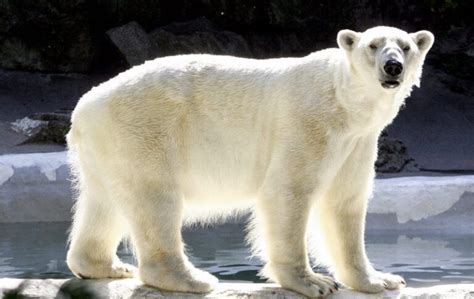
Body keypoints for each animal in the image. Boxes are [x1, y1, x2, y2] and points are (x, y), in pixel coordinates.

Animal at [65, 26, 434, 298]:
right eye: (373, 45)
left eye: (405, 46)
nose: (393, 66)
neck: (343, 102)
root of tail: (84, 108)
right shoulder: (309, 124)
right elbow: (289, 190)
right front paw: (313, 282)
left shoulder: (358, 142)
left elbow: (344, 203)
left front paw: (380, 279)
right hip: (143, 129)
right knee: (155, 199)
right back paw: (192, 278)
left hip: (107, 146)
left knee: (105, 202)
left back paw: (105, 265)